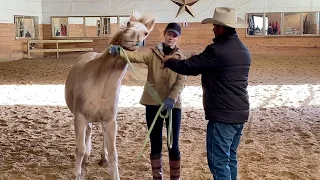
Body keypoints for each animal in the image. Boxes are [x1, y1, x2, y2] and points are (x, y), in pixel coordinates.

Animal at [64, 11, 156, 179]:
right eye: (128, 24)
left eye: (146, 32)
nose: (132, 37)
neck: (100, 81)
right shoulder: (80, 117)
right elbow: (79, 148)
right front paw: (77, 173)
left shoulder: (110, 121)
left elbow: (113, 152)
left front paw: (113, 171)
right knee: (88, 132)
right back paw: (86, 157)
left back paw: (102, 157)